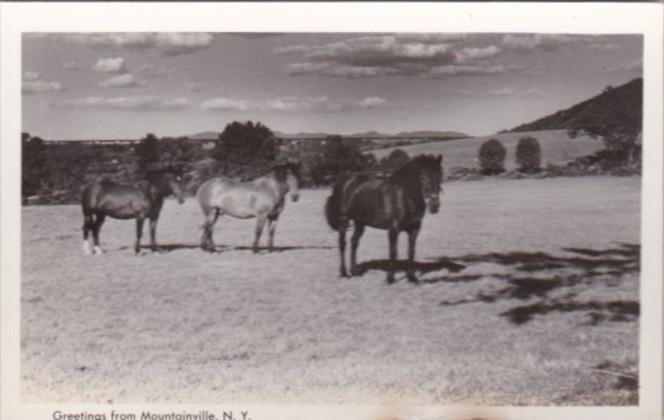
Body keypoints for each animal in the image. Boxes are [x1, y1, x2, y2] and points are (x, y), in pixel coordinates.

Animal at [326, 156, 444, 284]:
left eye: (439, 176)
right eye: (423, 177)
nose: (435, 206)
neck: (403, 196)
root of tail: (344, 181)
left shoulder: (414, 229)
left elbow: (411, 252)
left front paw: (412, 277)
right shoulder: (393, 229)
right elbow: (393, 252)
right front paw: (390, 278)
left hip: (360, 222)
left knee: (354, 242)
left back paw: (354, 272)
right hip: (344, 220)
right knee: (342, 244)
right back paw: (343, 273)